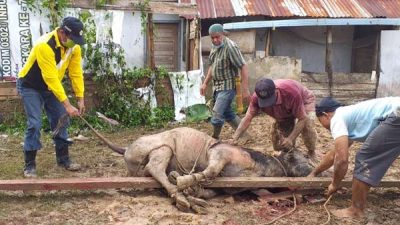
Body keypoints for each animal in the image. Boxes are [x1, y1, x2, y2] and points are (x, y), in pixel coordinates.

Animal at [94, 126, 312, 213]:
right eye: (303, 156)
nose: (311, 170)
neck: (261, 165)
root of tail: (125, 148)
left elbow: (210, 190)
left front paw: (194, 191)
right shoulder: (220, 155)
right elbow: (210, 172)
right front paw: (184, 182)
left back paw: (187, 196)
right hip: (162, 148)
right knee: (155, 168)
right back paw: (180, 195)